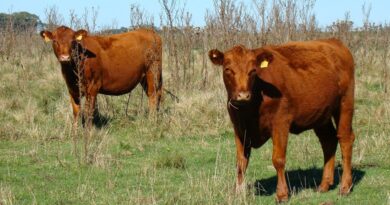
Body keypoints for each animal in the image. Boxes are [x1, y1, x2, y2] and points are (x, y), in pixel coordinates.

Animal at [209, 38, 354, 202]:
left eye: (253, 71)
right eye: (228, 70)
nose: (243, 95)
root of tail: (334, 41)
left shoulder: (280, 123)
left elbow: (278, 159)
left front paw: (282, 194)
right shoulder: (239, 128)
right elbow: (241, 161)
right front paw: (238, 193)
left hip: (345, 104)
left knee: (345, 139)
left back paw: (345, 186)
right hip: (321, 114)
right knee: (328, 141)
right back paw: (324, 185)